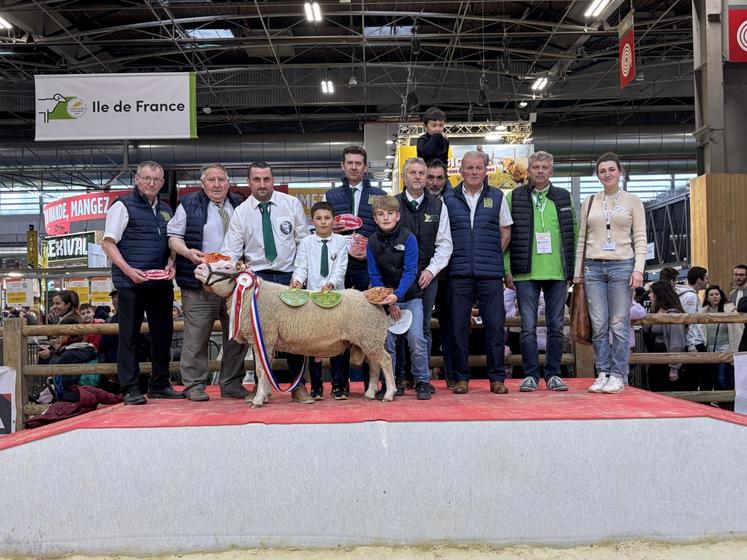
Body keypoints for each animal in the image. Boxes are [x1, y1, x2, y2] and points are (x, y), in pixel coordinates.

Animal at [194, 260, 398, 404]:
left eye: (227, 266)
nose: (199, 267)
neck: (252, 295)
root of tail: (367, 296)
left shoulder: (265, 337)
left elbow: (260, 370)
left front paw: (258, 400)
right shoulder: (265, 340)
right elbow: (266, 368)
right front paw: (264, 395)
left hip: (369, 337)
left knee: (386, 360)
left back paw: (389, 394)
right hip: (368, 339)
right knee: (375, 365)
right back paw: (370, 393)